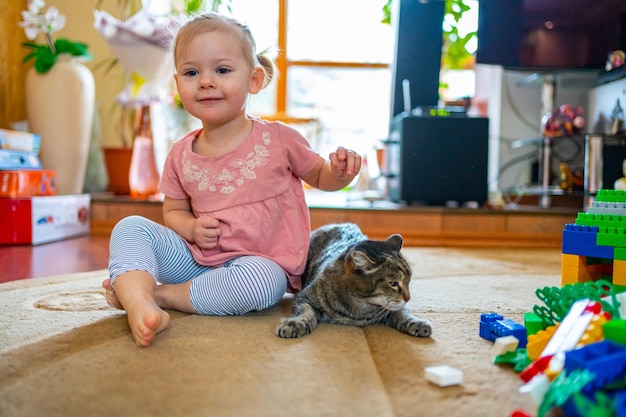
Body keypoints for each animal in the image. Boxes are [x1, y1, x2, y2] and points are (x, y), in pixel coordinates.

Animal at [276, 223, 432, 336]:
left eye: (408, 281)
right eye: (393, 283)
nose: (408, 298)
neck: (358, 308)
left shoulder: (394, 308)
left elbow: (403, 313)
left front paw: (417, 323)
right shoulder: (305, 297)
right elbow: (306, 312)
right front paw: (295, 324)